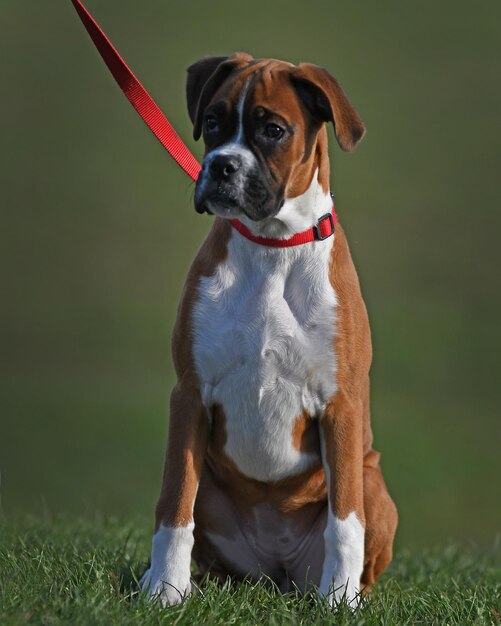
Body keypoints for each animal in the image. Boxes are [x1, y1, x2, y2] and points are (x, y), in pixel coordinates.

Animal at [142, 51, 398, 608]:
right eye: (213, 120)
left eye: (273, 130)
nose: (222, 165)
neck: (272, 246)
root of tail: (275, 573)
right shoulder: (189, 395)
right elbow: (174, 504)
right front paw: (166, 589)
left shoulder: (340, 406)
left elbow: (344, 523)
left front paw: (339, 601)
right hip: (213, 486)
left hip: (375, 484)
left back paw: (347, 592)